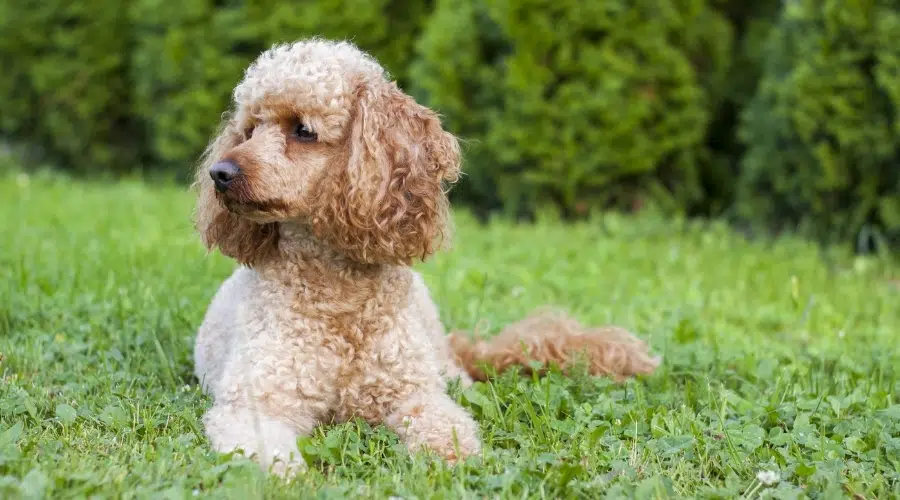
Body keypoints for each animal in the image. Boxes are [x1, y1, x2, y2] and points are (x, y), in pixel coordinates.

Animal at [192, 37, 660, 474]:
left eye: (302, 130)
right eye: (250, 129)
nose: (220, 173)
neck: (339, 295)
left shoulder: (415, 393)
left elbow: (445, 426)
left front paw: (456, 462)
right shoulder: (255, 402)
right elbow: (265, 452)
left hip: (442, 368)